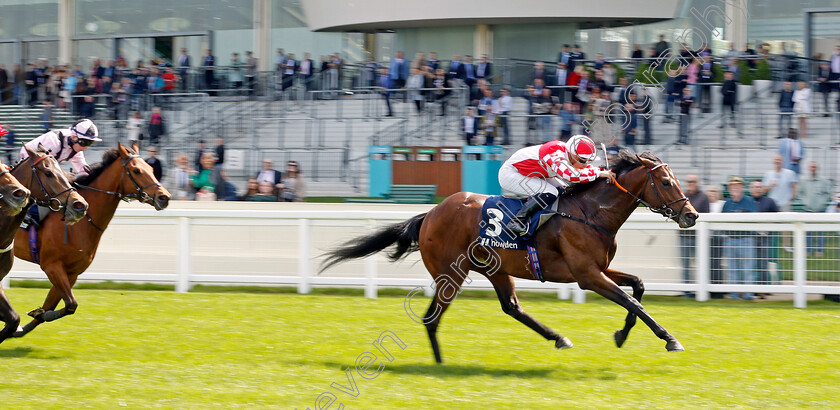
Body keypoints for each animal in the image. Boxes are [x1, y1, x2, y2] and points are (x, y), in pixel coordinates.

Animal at [0, 146, 88, 344]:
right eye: (48, 173)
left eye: (63, 170)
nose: (80, 205)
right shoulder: (53, 265)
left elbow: (14, 319)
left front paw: (39, 314)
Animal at [12, 143, 170, 338]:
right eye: (137, 170)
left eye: (151, 168)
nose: (164, 197)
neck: (82, 222)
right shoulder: (52, 266)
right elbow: (70, 303)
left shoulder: (72, 272)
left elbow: (59, 306)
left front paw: (32, 318)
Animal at [324, 151, 700, 362]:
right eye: (667, 182)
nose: (692, 215)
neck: (591, 212)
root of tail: (428, 214)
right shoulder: (587, 275)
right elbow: (630, 299)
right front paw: (670, 339)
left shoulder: (600, 268)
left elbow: (637, 286)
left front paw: (622, 335)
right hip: (451, 274)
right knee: (432, 317)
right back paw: (440, 364)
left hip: (494, 269)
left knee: (512, 307)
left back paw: (558, 338)